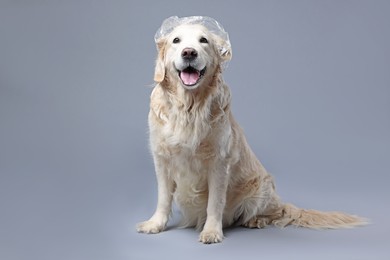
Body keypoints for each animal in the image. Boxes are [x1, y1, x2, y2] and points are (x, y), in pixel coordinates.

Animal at [136, 16, 368, 244]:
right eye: (176, 40)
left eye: (203, 40)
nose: (189, 52)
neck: (189, 106)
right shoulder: (162, 159)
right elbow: (163, 198)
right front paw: (155, 224)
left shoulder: (219, 163)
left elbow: (215, 203)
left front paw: (212, 231)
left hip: (261, 186)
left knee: (274, 213)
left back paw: (256, 220)